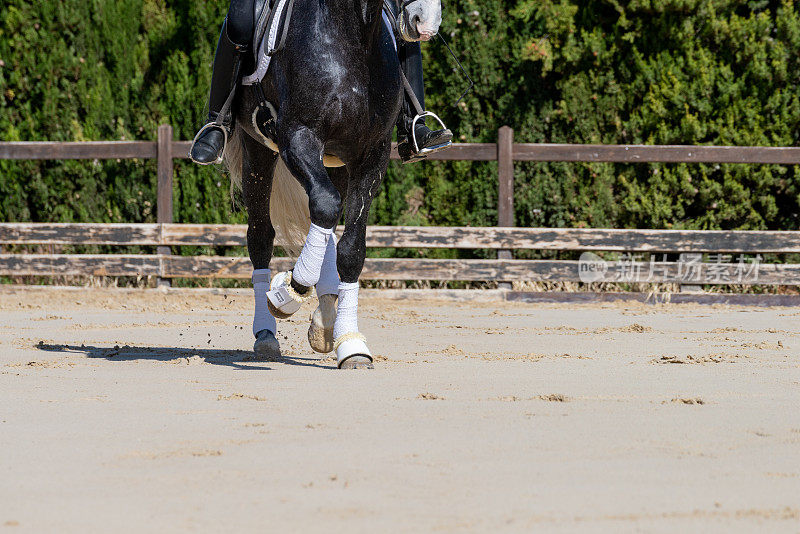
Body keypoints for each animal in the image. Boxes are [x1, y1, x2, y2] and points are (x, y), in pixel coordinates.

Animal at [225, 0, 444, 368]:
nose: (424, 21)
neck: (352, 39)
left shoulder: (372, 155)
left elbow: (351, 248)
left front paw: (351, 343)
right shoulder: (298, 138)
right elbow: (325, 208)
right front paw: (289, 289)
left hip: (335, 164)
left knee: (325, 225)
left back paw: (325, 322)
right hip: (259, 152)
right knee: (262, 237)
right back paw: (266, 333)